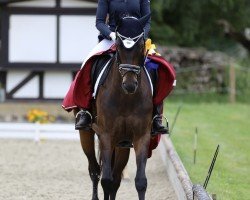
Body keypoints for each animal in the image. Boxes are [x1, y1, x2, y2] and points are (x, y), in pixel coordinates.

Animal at [78, 14, 152, 199]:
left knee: (116, 177)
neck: (125, 98)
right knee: (95, 171)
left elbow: (140, 181)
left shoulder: (141, 137)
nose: (130, 85)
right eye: (118, 46)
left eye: (141, 46)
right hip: (87, 134)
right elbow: (106, 180)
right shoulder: (106, 135)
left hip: (122, 144)